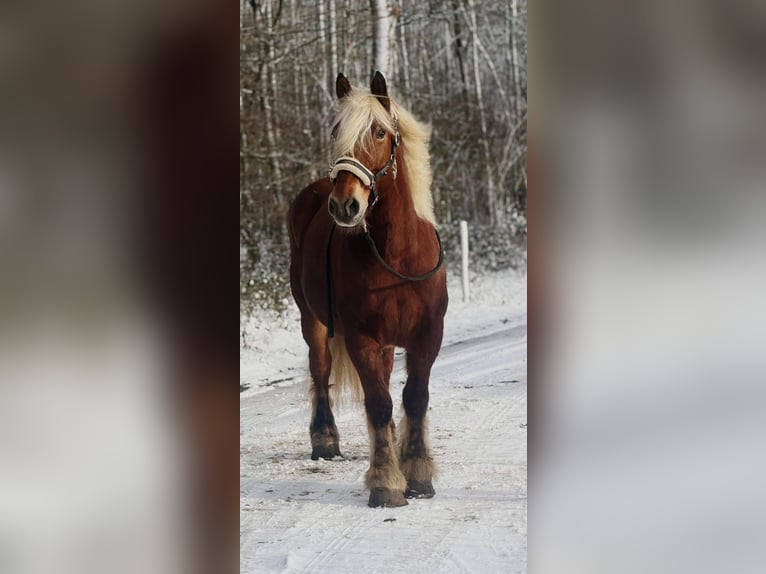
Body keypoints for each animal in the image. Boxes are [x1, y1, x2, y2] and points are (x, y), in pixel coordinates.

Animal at [287, 72, 448, 508]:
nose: (344, 205)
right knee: (321, 369)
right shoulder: (362, 338)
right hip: (313, 321)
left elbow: (414, 397)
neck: (399, 257)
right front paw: (386, 482)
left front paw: (417, 473)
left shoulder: (428, 335)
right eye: (335, 131)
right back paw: (325, 439)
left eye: (379, 132)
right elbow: (377, 403)